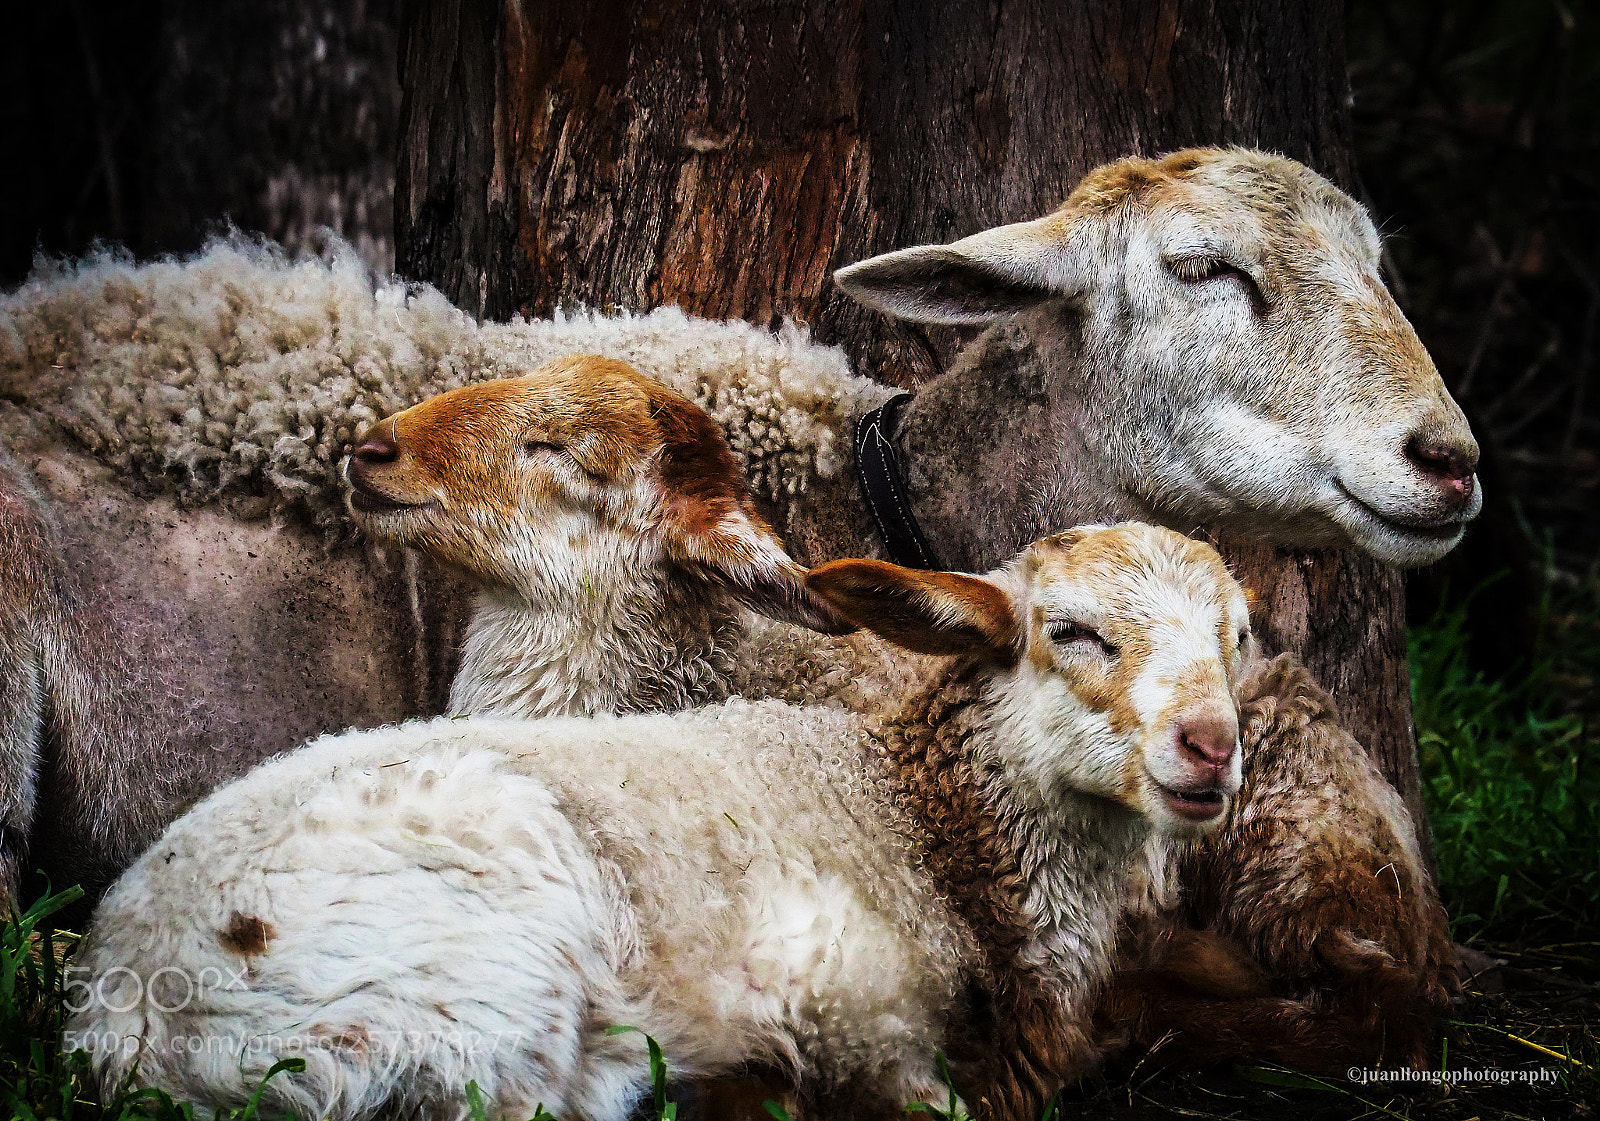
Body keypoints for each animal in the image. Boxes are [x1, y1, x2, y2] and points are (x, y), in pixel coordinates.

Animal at [64, 523, 1255, 1121]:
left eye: (1237, 636)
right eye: (1072, 630)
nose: (1210, 744)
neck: (924, 824)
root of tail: (123, 1005)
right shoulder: (837, 996)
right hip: (482, 971)